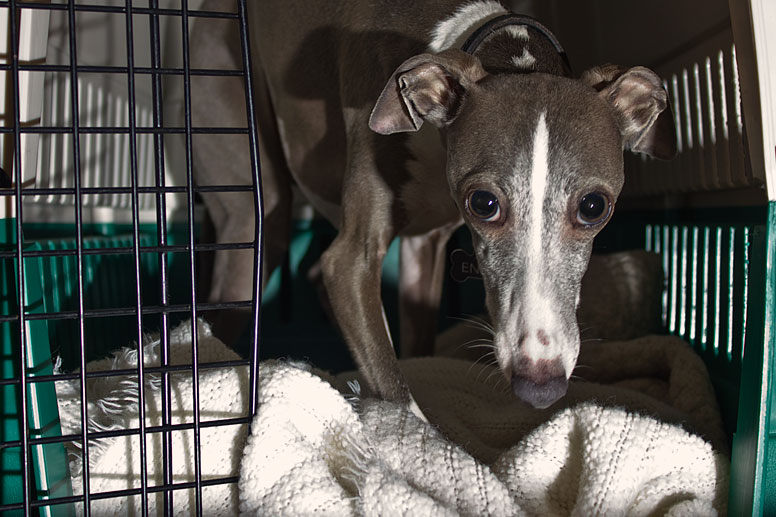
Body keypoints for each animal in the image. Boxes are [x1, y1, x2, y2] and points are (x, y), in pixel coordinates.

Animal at [192, 0, 672, 418]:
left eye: (594, 206)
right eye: (484, 203)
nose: (540, 387)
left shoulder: (426, 246)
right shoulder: (349, 262)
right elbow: (402, 403)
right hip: (253, 196)